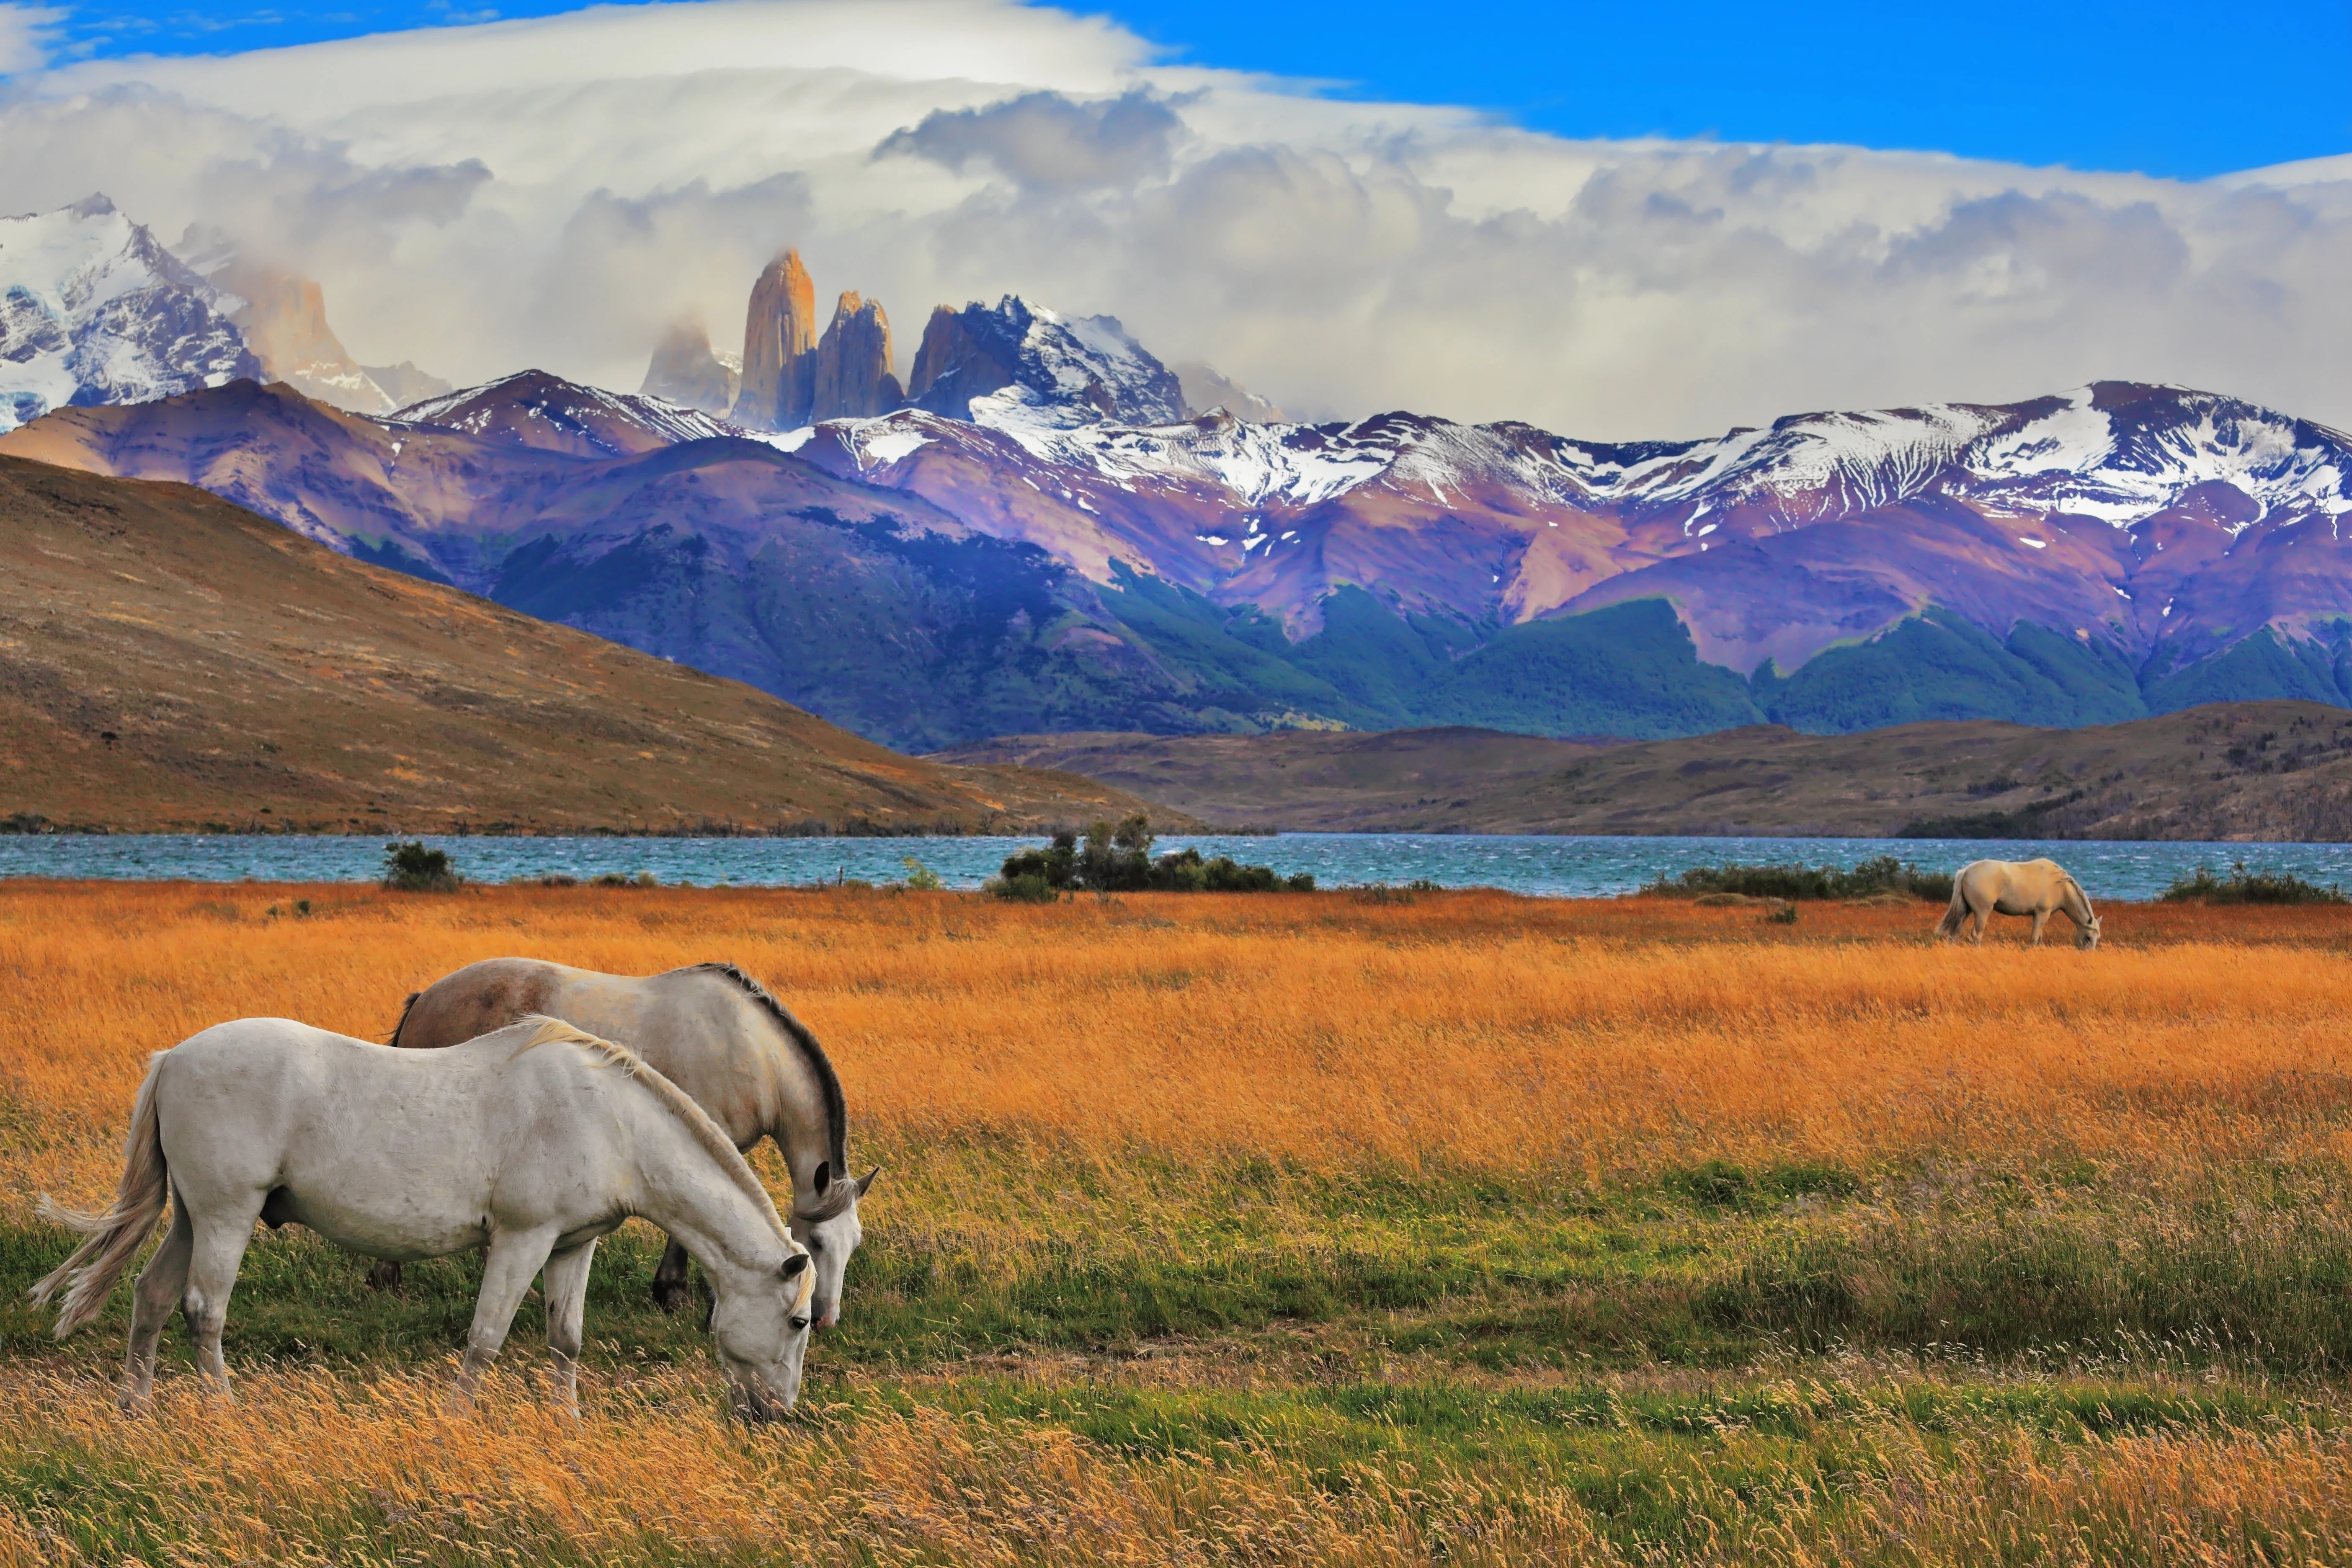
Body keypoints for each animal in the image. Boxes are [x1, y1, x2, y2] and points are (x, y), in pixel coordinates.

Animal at [23, 1020, 818, 1420]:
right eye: (800, 1320)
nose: (775, 1415)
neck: (609, 1118)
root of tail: (174, 1058)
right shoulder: (522, 1240)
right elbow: (486, 1338)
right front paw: (454, 1423)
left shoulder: (572, 1246)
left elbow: (565, 1339)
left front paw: (567, 1425)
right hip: (226, 1214)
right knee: (203, 1308)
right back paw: (223, 1411)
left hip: (192, 1214)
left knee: (153, 1297)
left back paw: (136, 1408)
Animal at [390, 959, 879, 1326]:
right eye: (816, 1242)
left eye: (854, 1244)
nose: (825, 1318)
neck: (752, 1051)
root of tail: (426, 998)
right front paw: (675, 1293)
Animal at [1938, 865, 2107, 949]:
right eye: (2088, 937)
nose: (2087, 955)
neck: (2060, 885)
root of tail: (1966, 871)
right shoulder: (2042, 914)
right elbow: (2034, 939)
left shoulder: (2039, 917)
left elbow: (2039, 938)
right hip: (1982, 912)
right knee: (1976, 935)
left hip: (1966, 910)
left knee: (1955, 933)